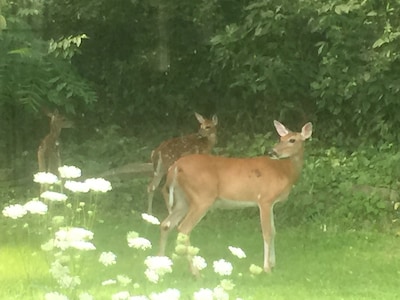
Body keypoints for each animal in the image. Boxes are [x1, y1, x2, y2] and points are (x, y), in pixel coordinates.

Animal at [159, 120, 312, 274]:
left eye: (292, 140)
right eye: (281, 138)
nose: (272, 152)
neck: (284, 171)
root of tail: (175, 167)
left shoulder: (270, 203)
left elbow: (274, 231)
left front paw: (273, 264)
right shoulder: (264, 199)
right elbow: (267, 233)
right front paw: (267, 268)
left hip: (182, 200)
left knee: (166, 224)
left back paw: (160, 264)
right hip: (202, 197)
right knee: (184, 228)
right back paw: (196, 272)